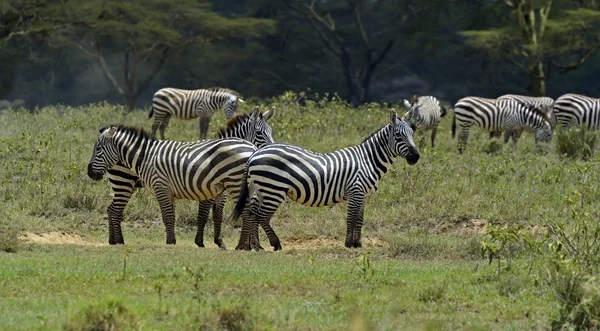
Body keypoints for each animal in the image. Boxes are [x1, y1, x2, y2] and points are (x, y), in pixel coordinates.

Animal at [88, 107, 276, 245]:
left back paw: (115, 241)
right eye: (260, 133)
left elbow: (214, 215)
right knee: (114, 210)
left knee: (113, 210)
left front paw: (220, 242)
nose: (90, 172)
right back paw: (116, 241)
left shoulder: (214, 192)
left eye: (270, 131)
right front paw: (200, 242)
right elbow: (201, 215)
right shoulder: (205, 191)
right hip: (123, 183)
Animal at [232, 109, 420, 252]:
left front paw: (358, 244)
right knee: (262, 216)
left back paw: (256, 246)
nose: (416, 157)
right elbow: (351, 218)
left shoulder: (362, 195)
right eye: (398, 135)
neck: (367, 160)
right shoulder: (356, 190)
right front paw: (349, 244)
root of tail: (255, 153)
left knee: (252, 213)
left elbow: (360, 219)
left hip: (261, 188)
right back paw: (276, 244)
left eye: (412, 133)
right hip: (274, 189)